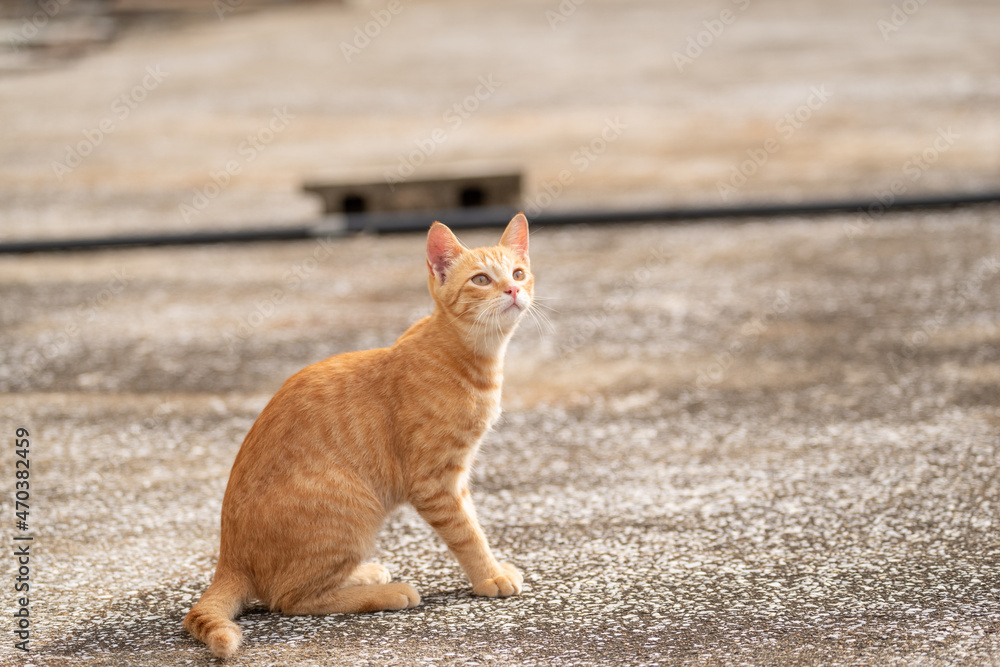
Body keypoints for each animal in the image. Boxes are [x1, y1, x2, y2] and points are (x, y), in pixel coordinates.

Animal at [185, 213, 536, 656]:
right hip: (354, 507)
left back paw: (364, 574)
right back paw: (389, 593)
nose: (512, 289)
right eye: (481, 280)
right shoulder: (435, 482)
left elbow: (473, 521)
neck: (471, 357)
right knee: (290, 598)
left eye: (518, 273)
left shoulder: (457, 479)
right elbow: (467, 533)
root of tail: (228, 558)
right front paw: (489, 576)